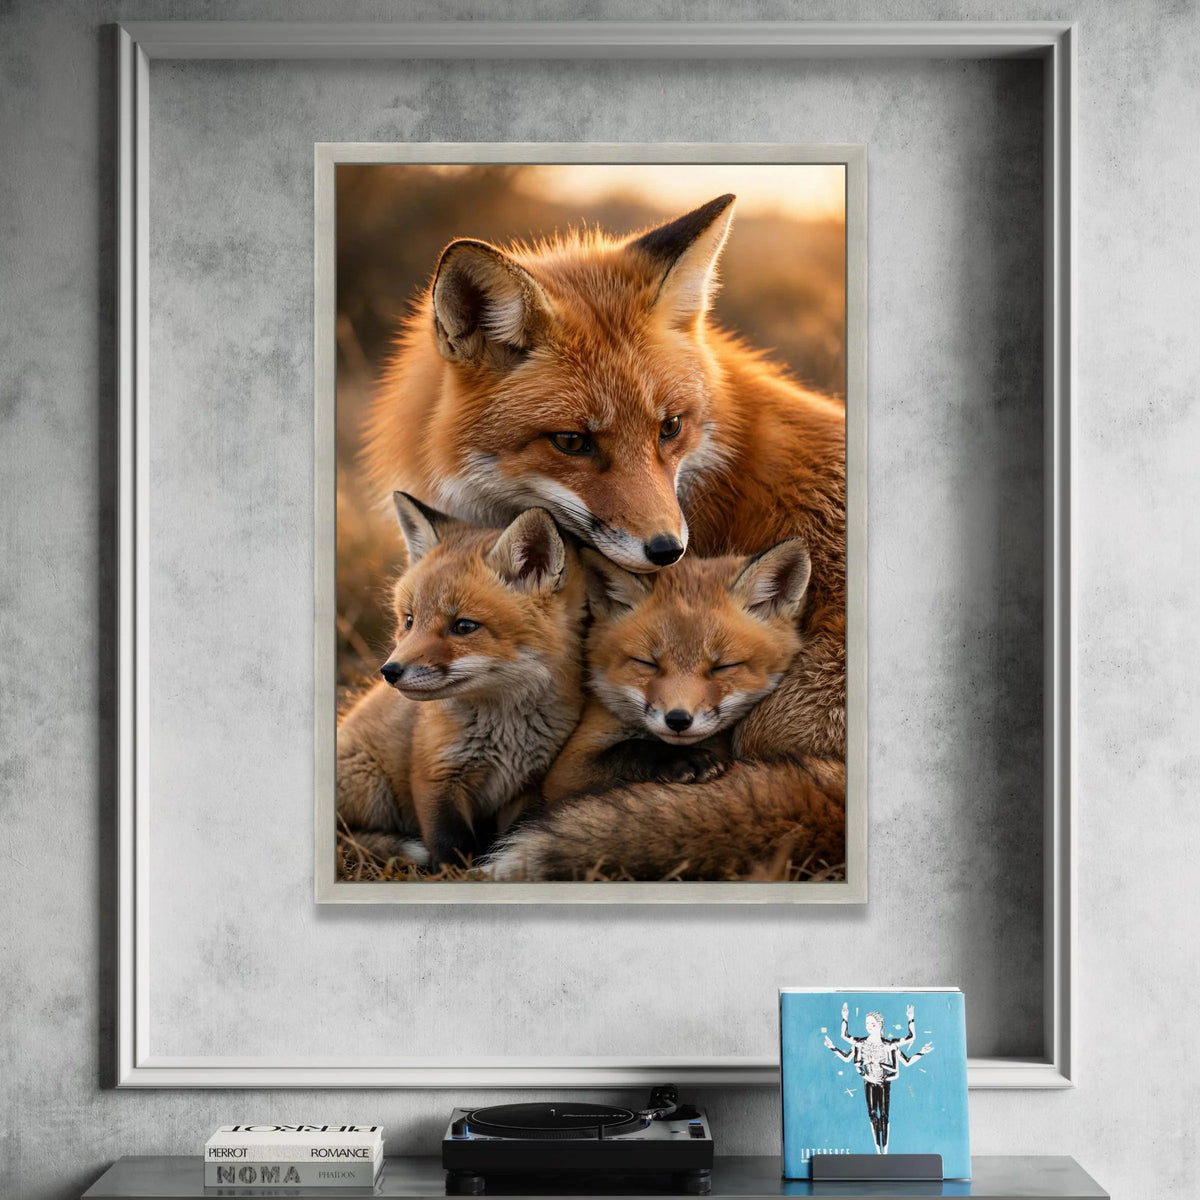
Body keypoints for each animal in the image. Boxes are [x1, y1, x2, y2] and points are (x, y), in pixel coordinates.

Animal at [336, 493, 586, 870]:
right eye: (409, 620)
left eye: (464, 626)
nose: (389, 671)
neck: (505, 731)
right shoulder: (435, 775)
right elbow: (449, 843)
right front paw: (454, 873)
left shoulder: (525, 786)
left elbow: (510, 833)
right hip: (370, 788)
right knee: (344, 835)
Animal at [540, 539, 812, 804]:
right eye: (647, 663)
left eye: (723, 667)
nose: (678, 720)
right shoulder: (565, 773)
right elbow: (628, 748)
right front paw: (678, 758)